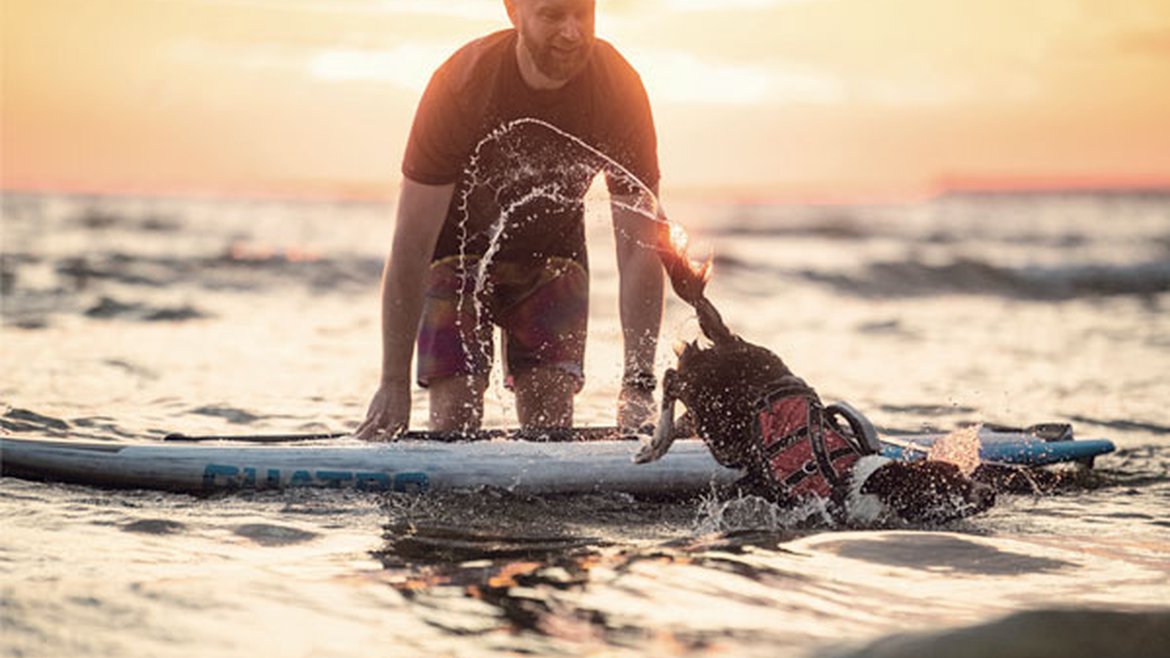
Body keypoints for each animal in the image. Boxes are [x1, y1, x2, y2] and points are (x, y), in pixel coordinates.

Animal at [636, 224, 992, 522]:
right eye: (944, 485)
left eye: (960, 473)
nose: (990, 493)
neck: (856, 479)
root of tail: (732, 341)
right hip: (717, 422)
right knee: (672, 378)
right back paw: (657, 441)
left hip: (722, 430)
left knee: (684, 410)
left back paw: (656, 442)